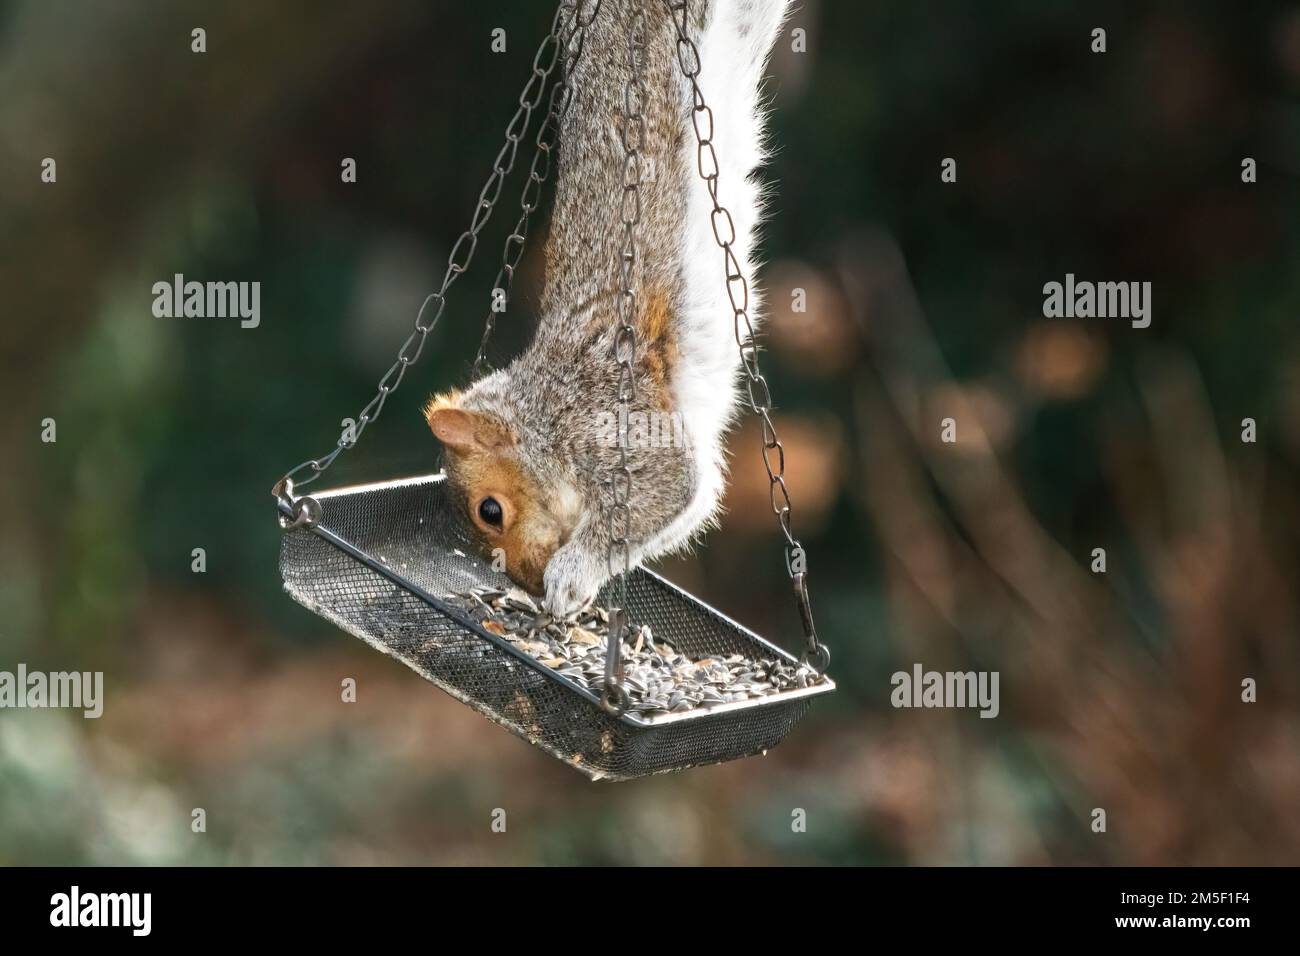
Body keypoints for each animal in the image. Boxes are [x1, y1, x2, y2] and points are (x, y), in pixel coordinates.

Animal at [425, 0, 790, 616]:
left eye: (489, 511)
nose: (527, 580)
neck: (548, 408)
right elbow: (685, 509)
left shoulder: (613, 424)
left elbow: (667, 487)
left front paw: (571, 575)